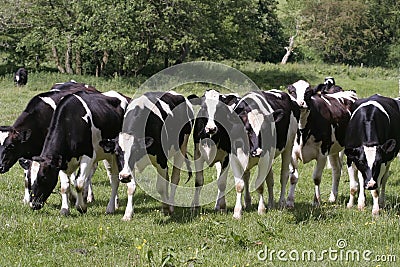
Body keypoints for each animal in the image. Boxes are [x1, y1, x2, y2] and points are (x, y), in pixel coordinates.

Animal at [29, 90, 129, 218]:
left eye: (43, 177)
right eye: (29, 179)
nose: (34, 204)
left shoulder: (88, 156)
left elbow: (79, 183)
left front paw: (81, 207)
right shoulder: (61, 161)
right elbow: (65, 186)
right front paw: (65, 209)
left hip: (113, 155)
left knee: (114, 180)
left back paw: (111, 207)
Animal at [99, 91, 194, 221]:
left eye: (135, 151)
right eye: (117, 152)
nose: (124, 177)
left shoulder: (161, 160)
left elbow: (160, 186)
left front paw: (166, 208)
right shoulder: (130, 167)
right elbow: (131, 187)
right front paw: (128, 214)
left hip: (182, 147)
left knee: (175, 177)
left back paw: (170, 204)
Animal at [227, 90, 298, 220]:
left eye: (264, 130)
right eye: (247, 129)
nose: (258, 151)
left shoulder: (264, 158)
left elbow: (260, 185)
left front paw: (261, 210)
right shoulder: (234, 158)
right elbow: (239, 185)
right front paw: (237, 212)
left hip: (288, 146)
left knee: (284, 175)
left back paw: (281, 203)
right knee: (268, 179)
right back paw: (267, 203)